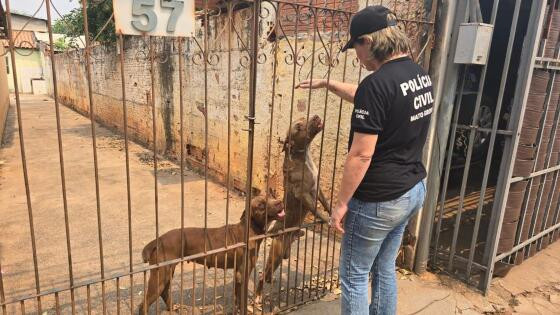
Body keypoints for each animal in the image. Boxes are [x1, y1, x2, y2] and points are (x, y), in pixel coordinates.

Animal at [136, 196, 284, 314]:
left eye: (270, 196)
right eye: (261, 205)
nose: (280, 202)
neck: (250, 228)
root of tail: (158, 240)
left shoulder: (238, 274)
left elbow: (237, 298)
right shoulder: (243, 274)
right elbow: (241, 299)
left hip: (166, 273)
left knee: (164, 293)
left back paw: (173, 308)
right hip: (160, 277)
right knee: (143, 305)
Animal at [255, 115, 330, 302]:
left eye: (305, 118)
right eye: (298, 127)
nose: (316, 116)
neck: (302, 156)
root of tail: (273, 231)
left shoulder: (317, 189)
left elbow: (326, 204)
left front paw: (333, 213)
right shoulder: (303, 194)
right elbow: (317, 210)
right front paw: (327, 219)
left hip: (282, 255)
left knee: (267, 275)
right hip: (276, 255)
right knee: (262, 276)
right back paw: (258, 296)